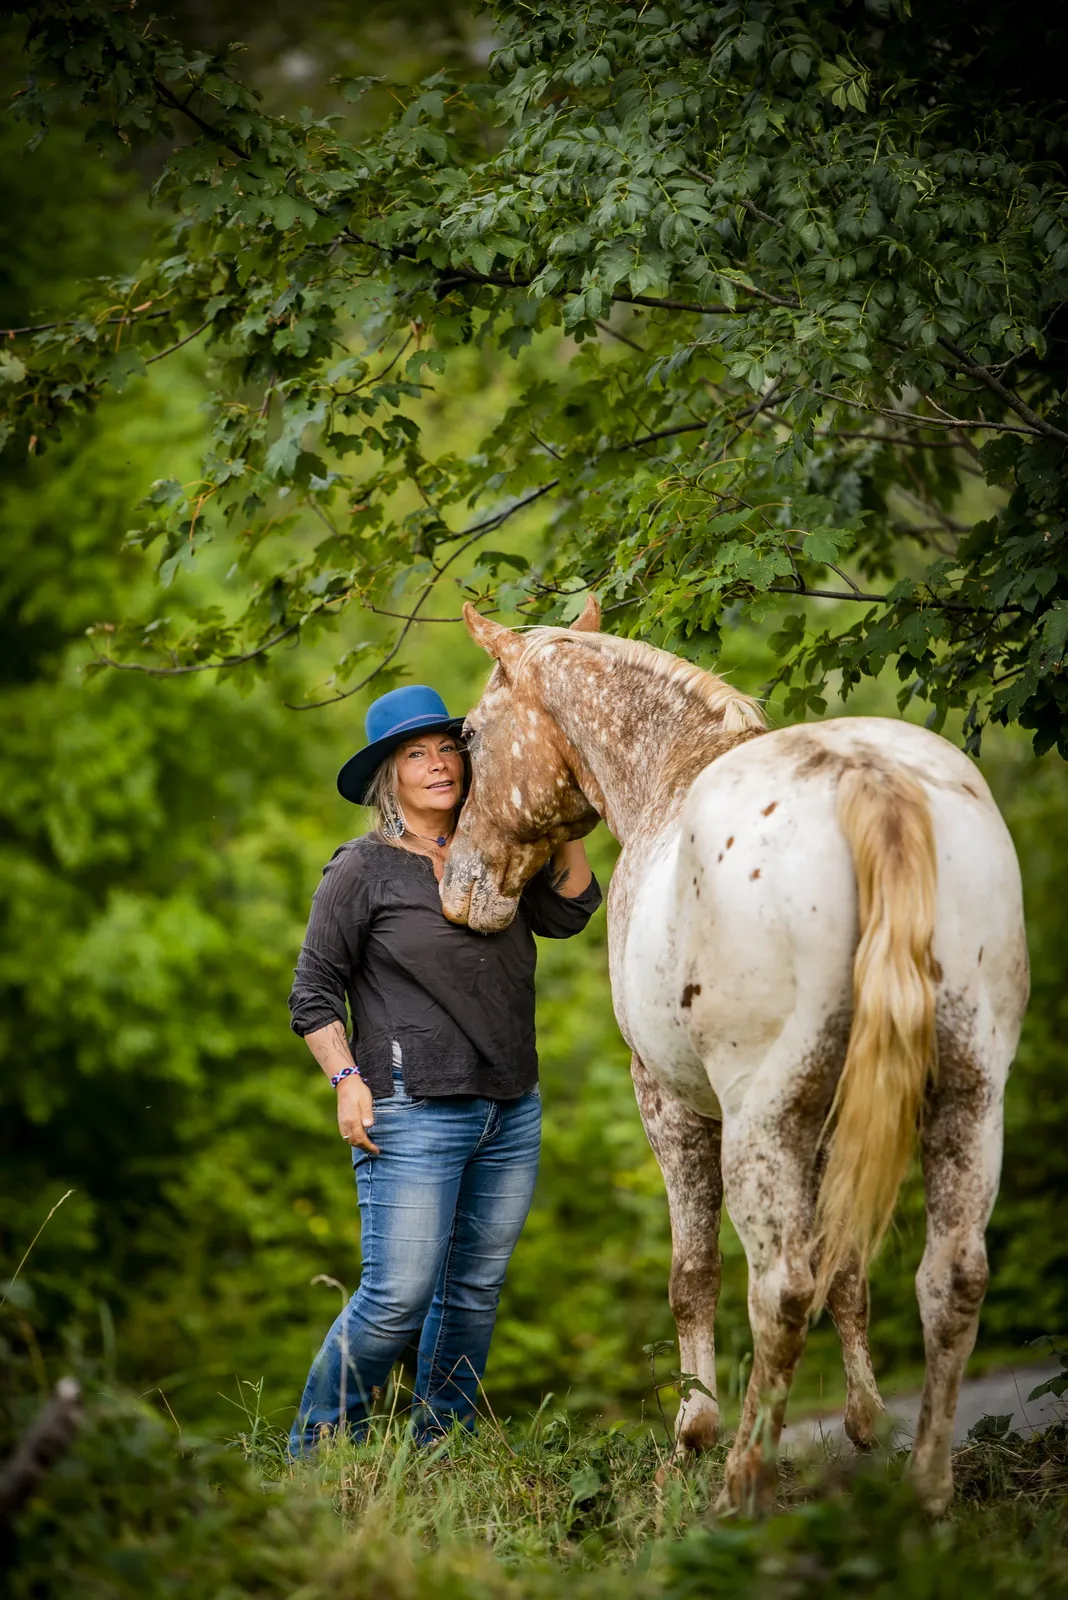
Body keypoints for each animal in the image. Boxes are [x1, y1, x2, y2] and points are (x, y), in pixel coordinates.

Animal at [440, 595, 1029, 1516]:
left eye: (470, 734)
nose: (457, 890)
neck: (668, 776)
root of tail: (870, 778)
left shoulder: (669, 1103)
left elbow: (695, 1273)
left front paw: (693, 1433)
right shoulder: (836, 1116)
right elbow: (848, 1268)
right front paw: (864, 1422)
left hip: (759, 1119)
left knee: (779, 1289)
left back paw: (739, 1485)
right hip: (969, 1100)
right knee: (952, 1278)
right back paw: (927, 1491)